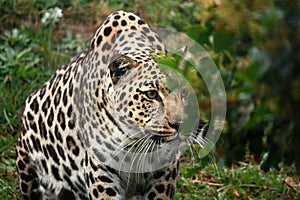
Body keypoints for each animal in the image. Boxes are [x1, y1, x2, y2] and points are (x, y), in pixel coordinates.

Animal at [15, 10, 206, 199]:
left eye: (183, 93)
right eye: (151, 94)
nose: (179, 125)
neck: (135, 141)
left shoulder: (164, 170)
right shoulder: (101, 170)